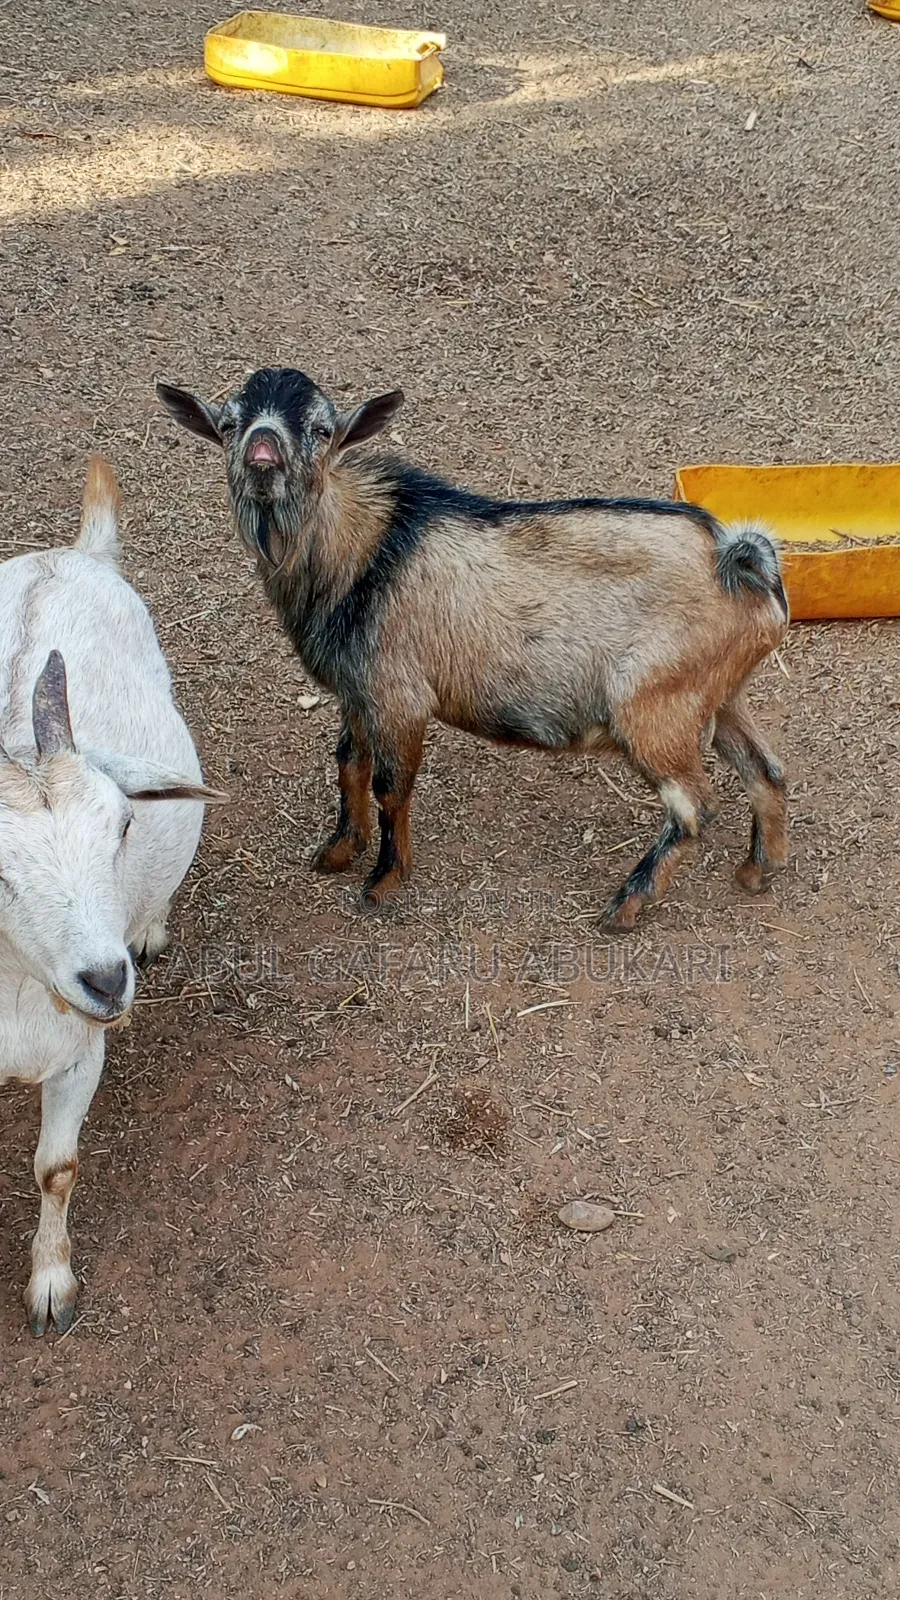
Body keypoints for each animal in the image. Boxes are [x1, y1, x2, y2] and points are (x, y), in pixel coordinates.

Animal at [0, 456, 223, 1333]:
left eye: (122, 824)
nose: (104, 982)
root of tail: (73, 553)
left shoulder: (78, 1054)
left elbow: (56, 1167)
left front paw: (51, 1284)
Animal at [158, 368, 788, 926]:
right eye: (230, 422)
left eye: (321, 427)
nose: (263, 455)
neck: (366, 551)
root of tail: (739, 561)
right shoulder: (358, 691)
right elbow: (348, 763)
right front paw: (337, 852)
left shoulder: (399, 697)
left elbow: (391, 786)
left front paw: (383, 881)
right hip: (718, 696)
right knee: (768, 771)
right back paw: (758, 872)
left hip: (655, 708)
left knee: (694, 806)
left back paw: (626, 906)